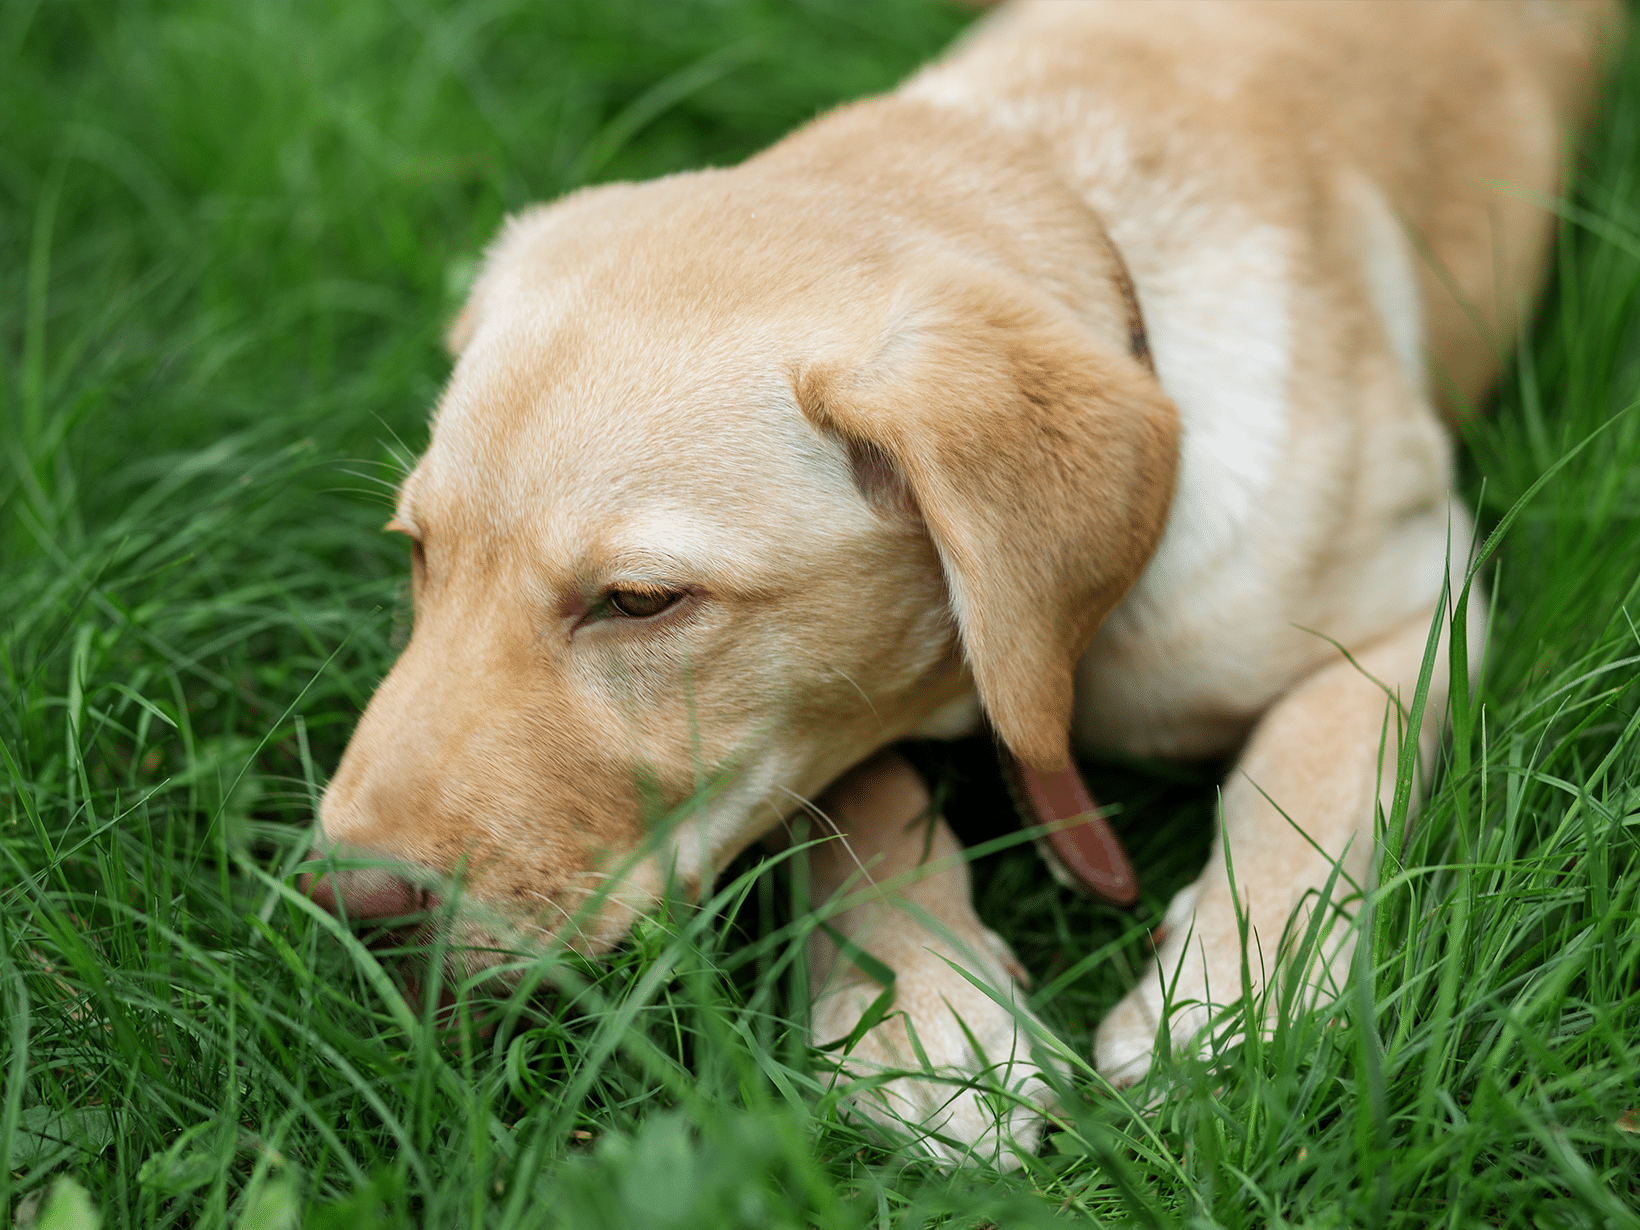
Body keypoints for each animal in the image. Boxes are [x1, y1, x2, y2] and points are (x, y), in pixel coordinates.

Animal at [301, 0, 1620, 1167]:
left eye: (638, 602)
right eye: (418, 553)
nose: (345, 907)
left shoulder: (1412, 596)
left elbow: (1311, 775)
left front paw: (1227, 1004)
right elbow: (856, 798)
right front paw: (917, 1016)